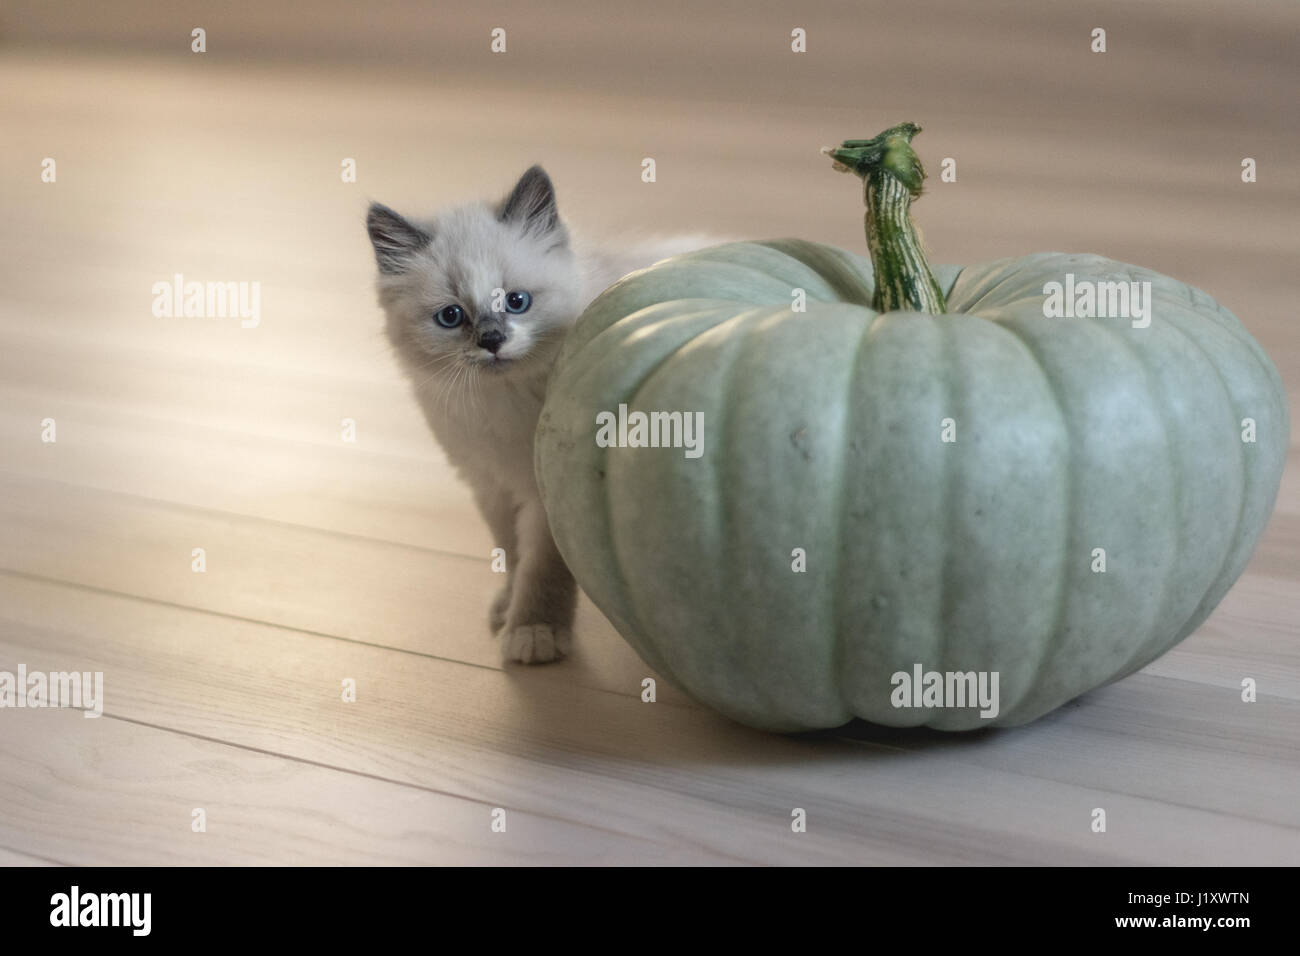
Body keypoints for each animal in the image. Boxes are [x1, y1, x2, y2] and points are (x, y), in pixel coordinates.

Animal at [366, 167, 712, 665]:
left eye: (517, 302)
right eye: (451, 316)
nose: (492, 340)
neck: (504, 401)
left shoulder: (546, 494)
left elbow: (542, 569)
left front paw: (533, 633)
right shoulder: (489, 484)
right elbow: (510, 552)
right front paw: (507, 606)